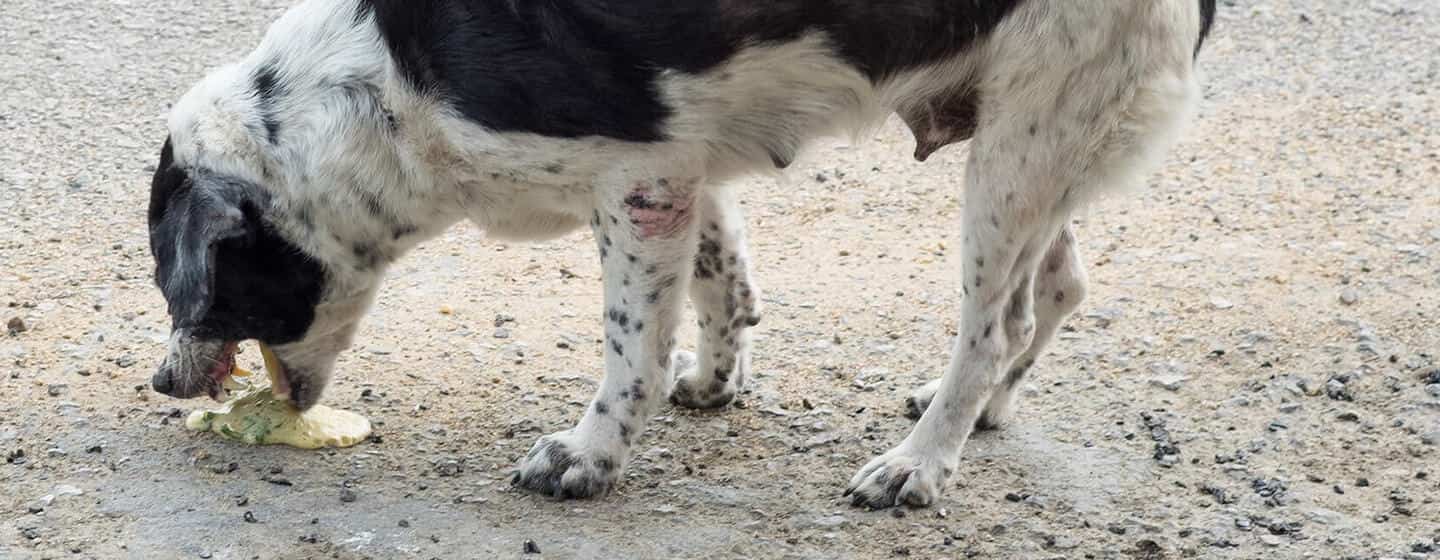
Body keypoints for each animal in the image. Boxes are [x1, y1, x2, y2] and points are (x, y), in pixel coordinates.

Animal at [149, 0, 1215, 506]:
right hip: (1036, 144)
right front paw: (713, 380)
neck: (380, 87)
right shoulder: (683, 166)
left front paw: (589, 455)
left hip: (1021, 146)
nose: (161, 382)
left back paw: (918, 464)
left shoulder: (639, 179)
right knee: (1059, 289)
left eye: (189, 292)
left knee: (994, 327)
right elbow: (723, 280)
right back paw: (977, 415)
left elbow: (632, 346)